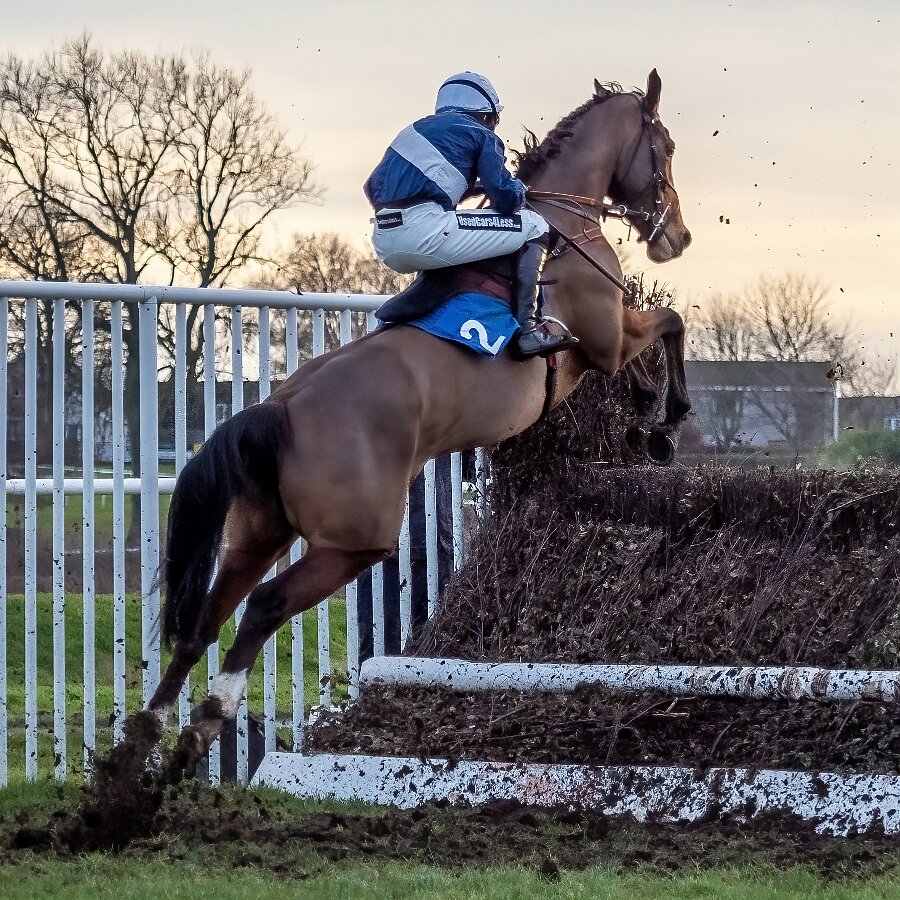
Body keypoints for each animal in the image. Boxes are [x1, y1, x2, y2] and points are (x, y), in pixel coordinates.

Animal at [144, 69, 693, 773]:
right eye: (666, 146)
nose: (677, 237)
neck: (563, 222)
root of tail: (279, 407)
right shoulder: (605, 339)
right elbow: (670, 326)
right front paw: (666, 423)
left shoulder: (604, 347)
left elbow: (645, 361)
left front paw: (646, 416)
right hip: (355, 542)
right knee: (262, 608)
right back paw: (205, 724)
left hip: (258, 532)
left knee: (204, 622)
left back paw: (144, 746)